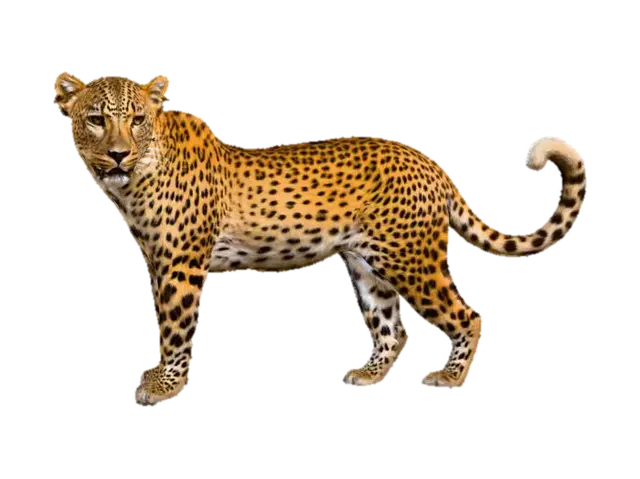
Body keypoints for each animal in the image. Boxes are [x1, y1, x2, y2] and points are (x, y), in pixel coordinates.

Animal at [53, 71, 587, 405]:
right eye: (96, 119)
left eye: (136, 120)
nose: (118, 154)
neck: (133, 181)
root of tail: (432, 164)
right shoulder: (156, 261)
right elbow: (163, 323)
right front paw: (158, 379)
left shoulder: (181, 265)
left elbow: (175, 329)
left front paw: (163, 387)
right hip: (369, 266)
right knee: (393, 328)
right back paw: (368, 377)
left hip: (411, 260)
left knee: (467, 315)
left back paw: (450, 378)